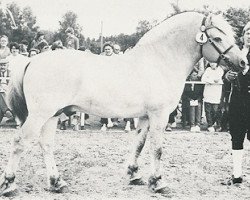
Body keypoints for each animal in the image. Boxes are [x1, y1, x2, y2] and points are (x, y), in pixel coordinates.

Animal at [0, 11, 246, 196]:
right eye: (218, 38)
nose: (243, 62)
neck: (159, 61)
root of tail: (32, 60)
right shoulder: (159, 115)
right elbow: (157, 149)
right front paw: (158, 182)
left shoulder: (145, 116)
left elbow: (139, 144)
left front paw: (134, 174)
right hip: (40, 115)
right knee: (20, 142)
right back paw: (10, 184)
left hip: (52, 114)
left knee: (46, 145)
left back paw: (56, 182)